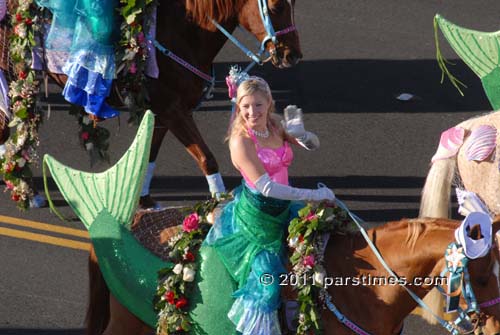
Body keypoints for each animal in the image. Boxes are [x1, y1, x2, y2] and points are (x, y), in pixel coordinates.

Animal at [0, 0, 300, 207]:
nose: (292, 55)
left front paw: (143, 198)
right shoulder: (172, 110)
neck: (182, 32)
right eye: (276, 6)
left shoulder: (163, 112)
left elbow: (151, 154)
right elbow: (207, 158)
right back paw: (26, 189)